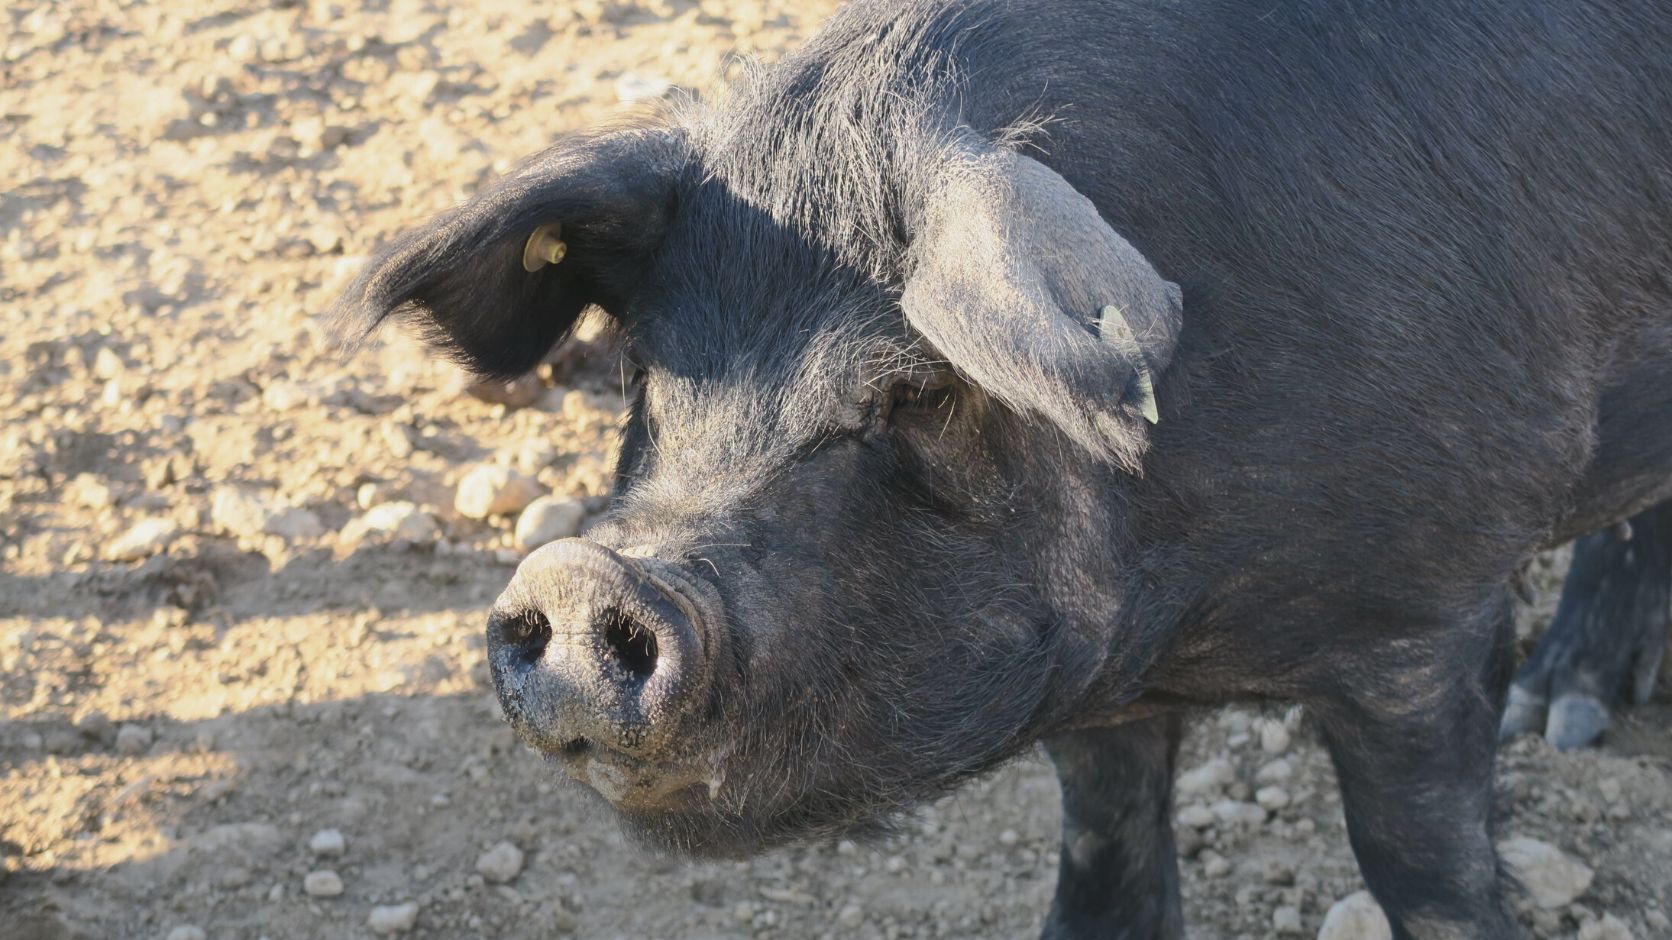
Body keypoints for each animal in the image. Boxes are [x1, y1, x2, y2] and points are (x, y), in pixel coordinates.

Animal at [339, 3, 1672, 929]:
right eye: (642, 367)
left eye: (918, 386)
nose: (580, 578)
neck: (1197, 621)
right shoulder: (1098, 689)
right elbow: (1104, 856)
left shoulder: (1426, 612)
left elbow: (1424, 870)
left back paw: (1562, 716)